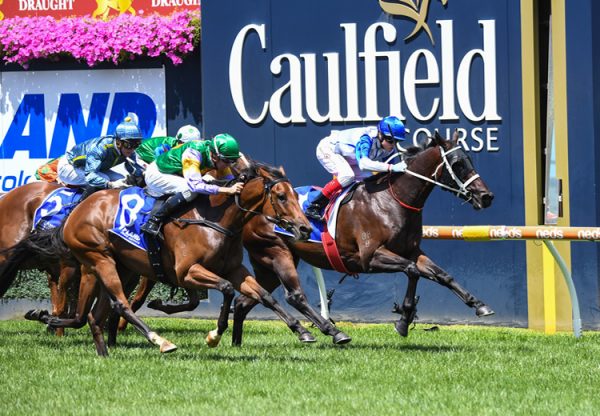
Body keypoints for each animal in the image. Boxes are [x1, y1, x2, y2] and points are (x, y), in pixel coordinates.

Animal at [18, 161, 344, 356]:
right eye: (281, 196)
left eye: (294, 195)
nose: (304, 228)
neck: (215, 219)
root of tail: (77, 209)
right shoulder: (188, 270)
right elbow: (226, 289)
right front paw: (215, 334)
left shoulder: (235, 268)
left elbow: (264, 295)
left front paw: (305, 331)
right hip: (99, 259)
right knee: (120, 305)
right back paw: (160, 341)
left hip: (119, 267)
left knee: (94, 316)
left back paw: (96, 347)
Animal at [230, 131, 492, 344]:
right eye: (457, 164)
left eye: (469, 159)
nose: (486, 196)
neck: (392, 200)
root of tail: (250, 211)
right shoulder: (370, 257)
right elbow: (412, 271)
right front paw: (403, 321)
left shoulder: (412, 251)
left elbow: (442, 275)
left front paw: (479, 305)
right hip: (276, 252)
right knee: (294, 296)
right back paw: (330, 332)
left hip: (269, 266)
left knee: (245, 300)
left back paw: (235, 342)